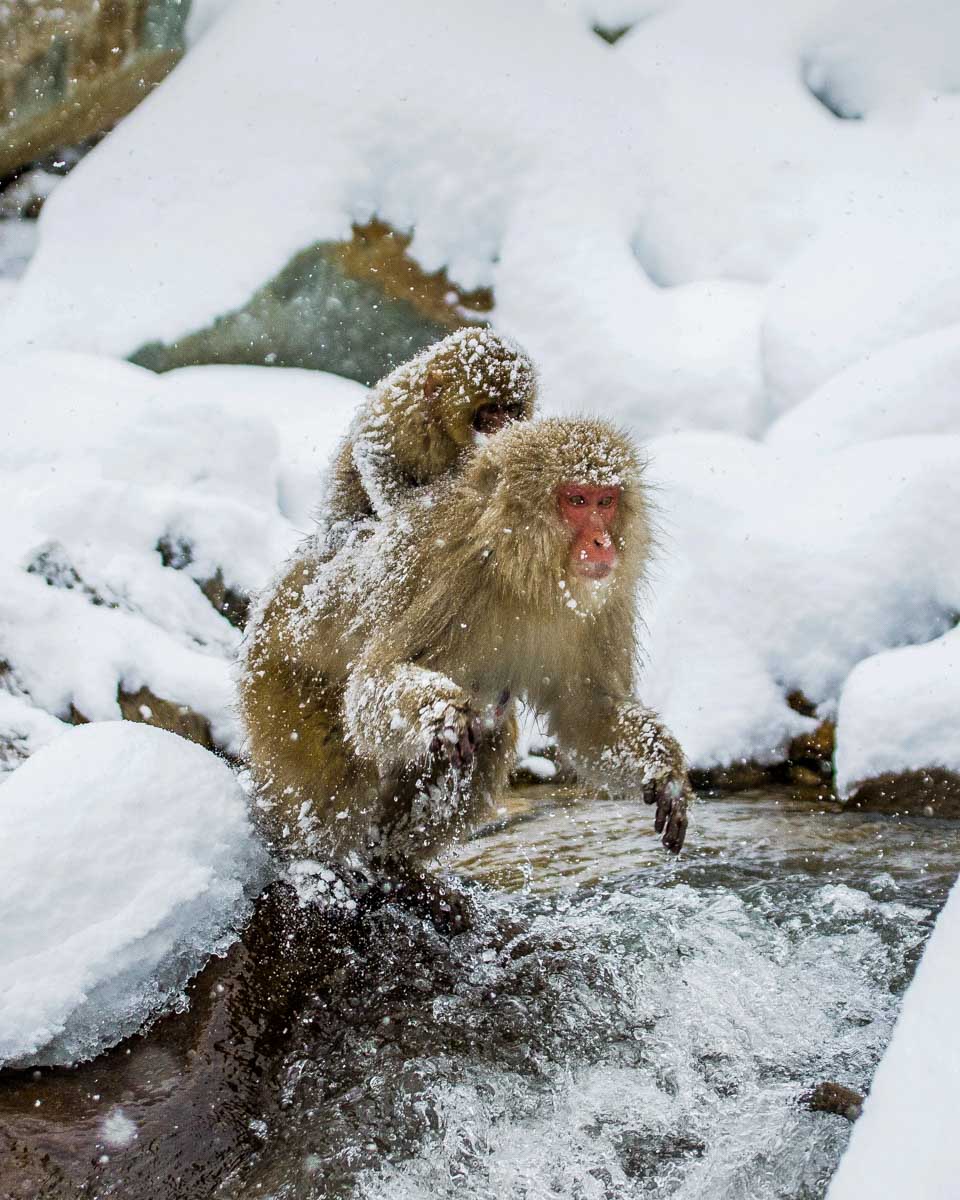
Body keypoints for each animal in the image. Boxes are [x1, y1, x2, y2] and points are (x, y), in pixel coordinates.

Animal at [239, 416, 690, 904]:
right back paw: (314, 864)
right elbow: (372, 683)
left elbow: (585, 712)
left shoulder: (603, 603)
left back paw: (392, 864)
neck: (521, 572)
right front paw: (443, 713)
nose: (603, 542)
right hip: (276, 680)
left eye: (606, 501)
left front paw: (664, 770)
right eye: (576, 500)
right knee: (330, 773)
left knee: (488, 739)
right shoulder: (444, 569)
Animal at [320, 327, 537, 551]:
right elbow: (374, 451)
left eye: (511, 409)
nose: (505, 425)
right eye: (491, 410)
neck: (441, 423)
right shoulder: (406, 412)